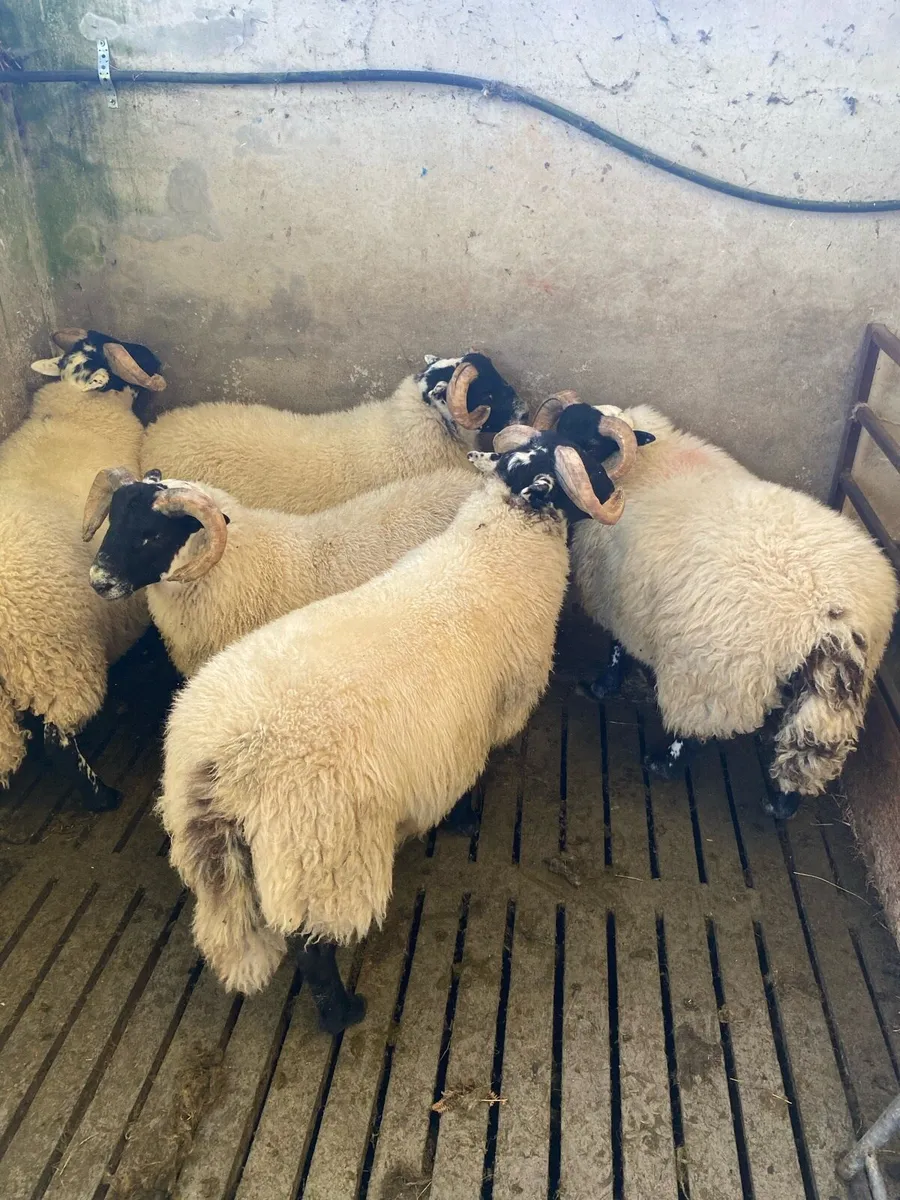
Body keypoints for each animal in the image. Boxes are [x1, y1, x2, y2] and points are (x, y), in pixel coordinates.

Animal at [0, 328, 166, 810]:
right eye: (120, 358)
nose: (155, 356)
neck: (77, 408)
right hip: (57, 660)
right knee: (56, 739)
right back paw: (102, 796)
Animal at [156, 412, 638, 1030]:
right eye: (581, 461)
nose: (614, 491)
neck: (499, 542)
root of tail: (217, 764)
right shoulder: (489, 715)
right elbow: (472, 777)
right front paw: (465, 820)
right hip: (325, 857)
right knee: (313, 946)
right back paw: (342, 1013)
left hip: (218, 855)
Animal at [538, 394, 900, 818]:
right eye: (560, 426)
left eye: (592, 444)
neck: (641, 468)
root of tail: (833, 613)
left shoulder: (620, 595)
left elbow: (616, 648)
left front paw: (601, 686)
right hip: (827, 686)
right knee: (808, 745)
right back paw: (781, 803)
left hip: (713, 672)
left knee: (696, 728)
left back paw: (663, 762)